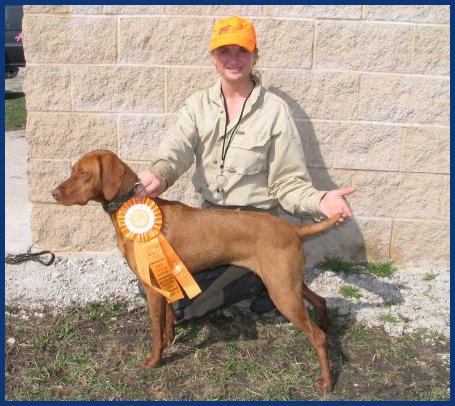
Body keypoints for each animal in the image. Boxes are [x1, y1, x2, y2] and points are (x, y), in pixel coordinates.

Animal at [51, 149, 340, 390]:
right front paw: (170, 338)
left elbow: (156, 328)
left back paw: (326, 381)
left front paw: (155, 359)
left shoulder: (150, 288)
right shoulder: (163, 281)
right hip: (287, 282)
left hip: (282, 292)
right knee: (320, 301)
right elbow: (169, 317)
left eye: (83, 173)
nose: (54, 193)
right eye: (73, 170)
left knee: (317, 337)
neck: (131, 206)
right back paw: (329, 329)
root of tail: (293, 229)